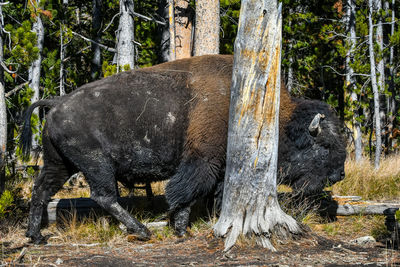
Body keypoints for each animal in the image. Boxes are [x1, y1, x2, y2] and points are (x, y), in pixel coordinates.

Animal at [21, 54, 346, 243]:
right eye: (324, 145)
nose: (339, 175)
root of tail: (58, 102)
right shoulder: (202, 160)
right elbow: (186, 191)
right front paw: (180, 228)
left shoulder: (220, 168)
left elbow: (214, 193)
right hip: (96, 164)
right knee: (104, 195)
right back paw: (142, 231)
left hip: (59, 163)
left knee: (41, 190)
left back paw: (36, 236)